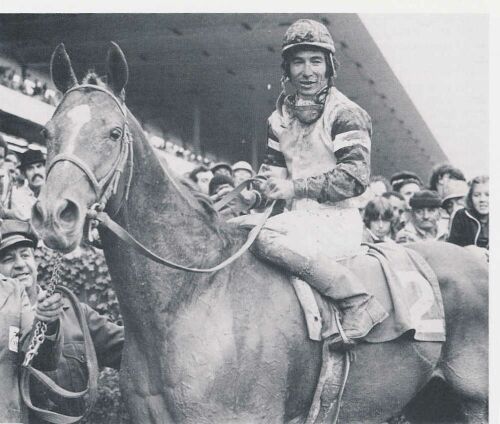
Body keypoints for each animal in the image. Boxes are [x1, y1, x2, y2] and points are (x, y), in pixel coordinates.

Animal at [32, 40, 488, 424]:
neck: (191, 295)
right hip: (433, 401)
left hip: (475, 401)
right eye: (47, 132)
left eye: (113, 133)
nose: (55, 214)